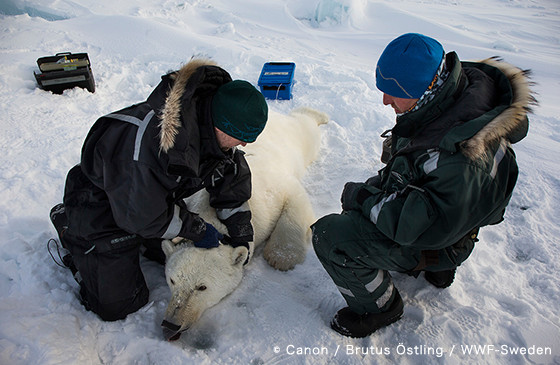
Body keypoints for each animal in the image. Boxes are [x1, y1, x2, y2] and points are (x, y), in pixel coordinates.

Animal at [160, 106, 328, 340]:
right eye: (172, 280)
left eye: (202, 287)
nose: (171, 324)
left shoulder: (273, 191)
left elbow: (294, 199)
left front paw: (282, 257)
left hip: (295, 140)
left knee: (306, 131)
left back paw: (318, 115)